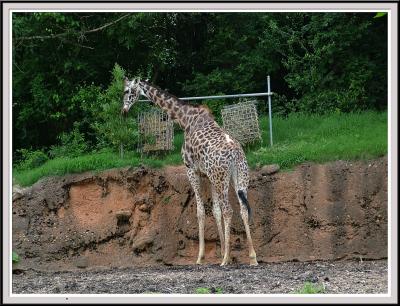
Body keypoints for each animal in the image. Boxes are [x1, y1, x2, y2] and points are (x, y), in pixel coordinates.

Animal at [122, 77, 258, 266]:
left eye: (127, 91)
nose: (123, 111)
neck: (185, 120)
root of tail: (236, 154)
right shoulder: (207, 175)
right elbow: (215, 211)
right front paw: (223, 252)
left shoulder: (191, 169)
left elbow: (200, 211)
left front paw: (202, 257)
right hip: (239, 176)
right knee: (243, 209)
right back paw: (252, 257)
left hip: (221, 179)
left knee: (229, 210)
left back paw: (225, 260)